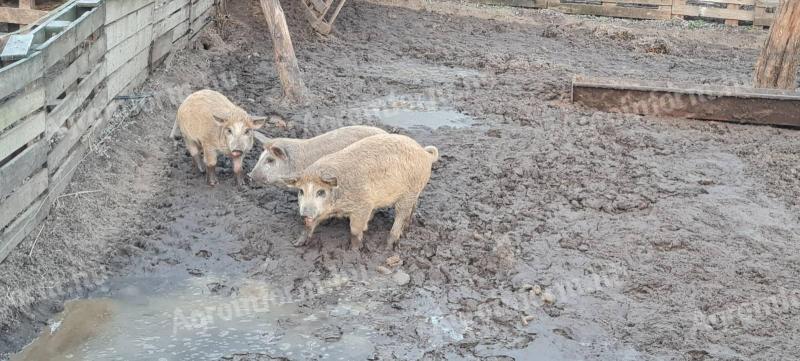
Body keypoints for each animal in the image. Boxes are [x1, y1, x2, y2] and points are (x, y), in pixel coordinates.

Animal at [284, 134, 440, 249]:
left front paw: (355, 249)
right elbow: (309, 225)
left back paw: (388, 245)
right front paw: (296, 243)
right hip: (415, 191)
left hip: (409, 192)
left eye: (321, 192)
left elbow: (355, 229)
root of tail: (426, 154)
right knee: (412, 208)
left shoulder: (363, 204)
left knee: (401, 214)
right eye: (301, 191)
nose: (305, 213)